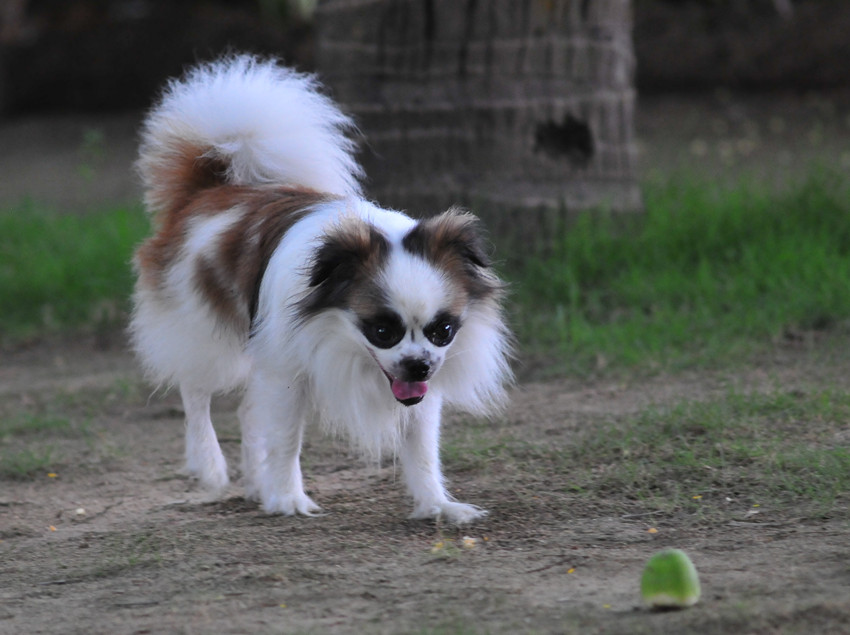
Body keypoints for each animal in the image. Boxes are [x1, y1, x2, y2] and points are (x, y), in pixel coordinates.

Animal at [126, 54, 510, 524]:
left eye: (444, 331)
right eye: (382, 331)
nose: (418, 365)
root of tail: (209, 190)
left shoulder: (415, 395)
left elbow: (422, 450)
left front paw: (437, 504)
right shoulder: (287, 371)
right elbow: (287, 439)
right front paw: (288, 498)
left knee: (248, 412)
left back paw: (256, 483)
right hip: (203, 330)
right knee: (195, 390)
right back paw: (210, 465)